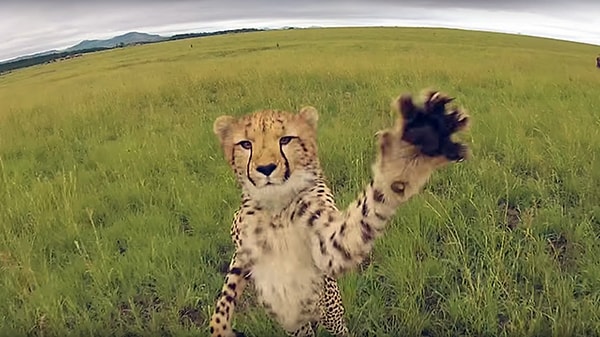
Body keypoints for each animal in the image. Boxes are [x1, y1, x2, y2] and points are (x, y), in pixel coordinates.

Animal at [209, 89, 472, 336]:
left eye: (286, 139)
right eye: (246, 144)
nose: (266, 168)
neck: (276, 206)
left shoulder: (328, 247)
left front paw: (412, 149)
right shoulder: (243, 251)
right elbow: (227, 294)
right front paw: (220, 326)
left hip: (330, 315)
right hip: (299, 327)